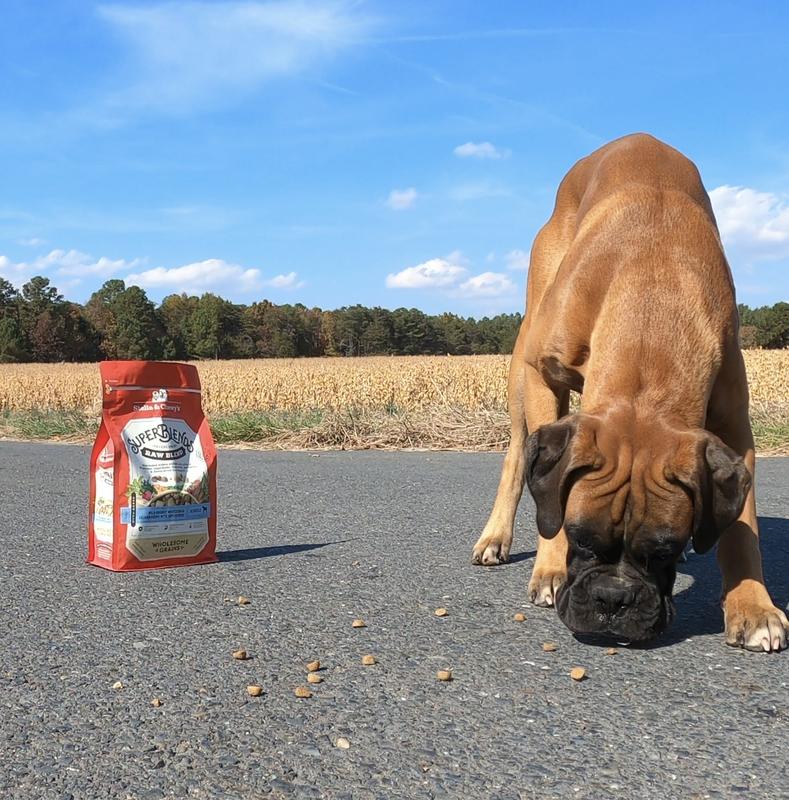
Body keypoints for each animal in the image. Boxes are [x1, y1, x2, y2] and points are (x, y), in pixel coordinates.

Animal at [470, 134, 784, 652]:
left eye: (663, 550)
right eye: (580, 538)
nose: (613, 600)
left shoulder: (735, 426)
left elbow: (743, 529)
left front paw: (753, 607)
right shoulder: (542, 376)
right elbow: (546, 501)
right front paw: (550, 567)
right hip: (522, 366)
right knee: (518, 454)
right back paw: (496, 537)